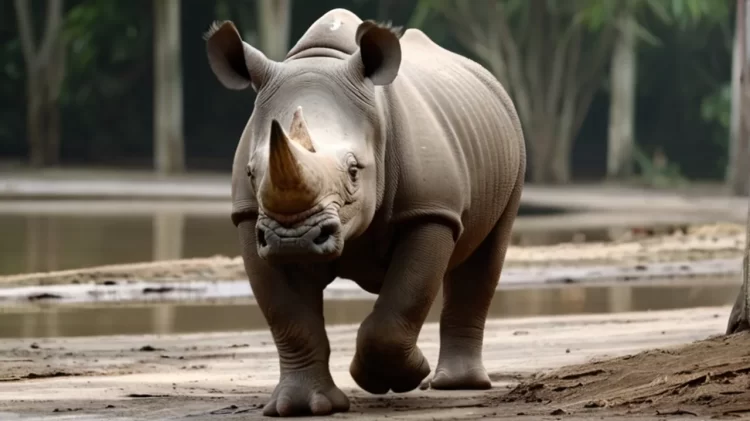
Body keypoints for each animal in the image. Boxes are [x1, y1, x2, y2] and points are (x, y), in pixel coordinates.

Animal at [205, 8, 526, 417]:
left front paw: (396, 379)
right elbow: (288, 317)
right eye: (250, 172)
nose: (294, 239)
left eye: (355, 170)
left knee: (486, 256)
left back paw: (456, 386)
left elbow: (406, 299)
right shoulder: (251, 217)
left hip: (510, 142)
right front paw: (302, 407)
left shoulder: (430, 211)